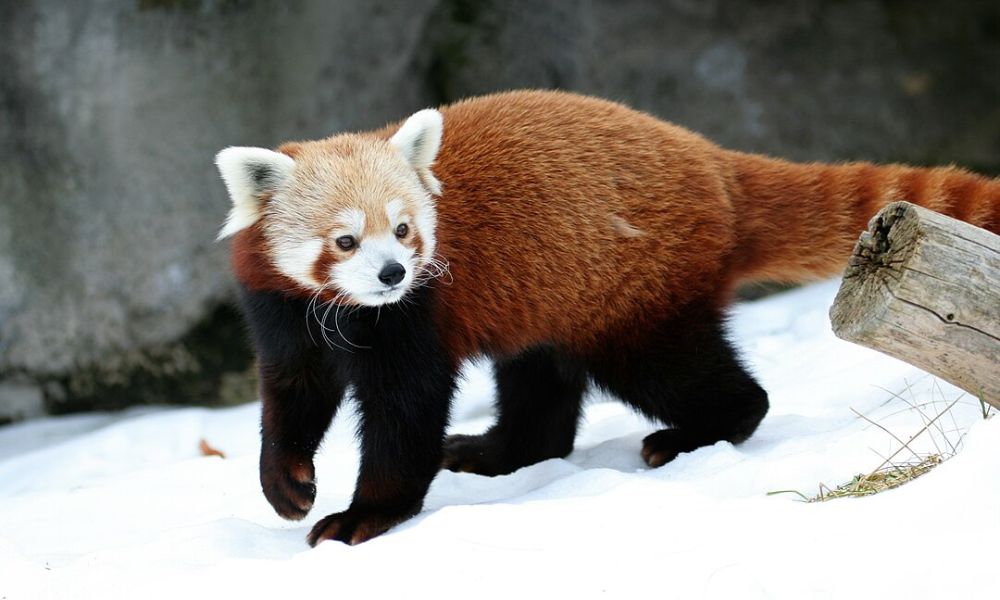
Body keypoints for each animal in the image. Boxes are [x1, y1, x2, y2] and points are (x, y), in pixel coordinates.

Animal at [217, 90, 1000, 548]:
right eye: (346, 240)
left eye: (405, 230)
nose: (392, 275)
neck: (349, 314)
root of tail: (715, 164)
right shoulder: (283, 311)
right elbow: (292, 394)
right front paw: (286, 484)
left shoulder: (417, 318)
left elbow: (404, 414)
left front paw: (364, 517)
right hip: (554, 294)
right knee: (540, 384)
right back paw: (497, 452)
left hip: (634, 295)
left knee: (686, 375)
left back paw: (695, 433)